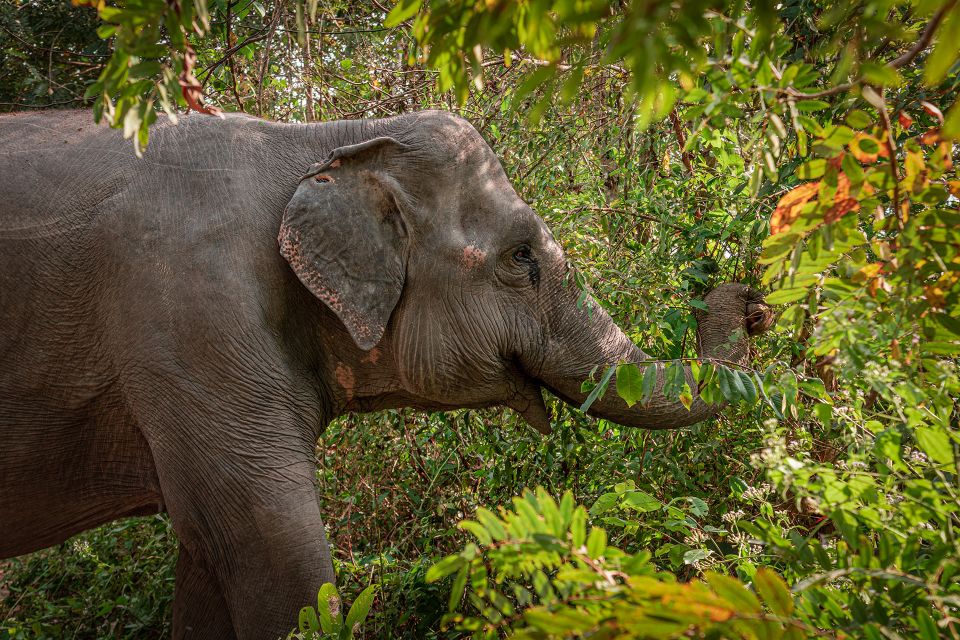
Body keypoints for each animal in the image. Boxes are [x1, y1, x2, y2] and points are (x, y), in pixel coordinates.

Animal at [0, 109, 768, 636]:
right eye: (521, 255)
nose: (747, 296)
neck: (323, 140)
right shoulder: (191, 322)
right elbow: (273, 553)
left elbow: (209, 559)